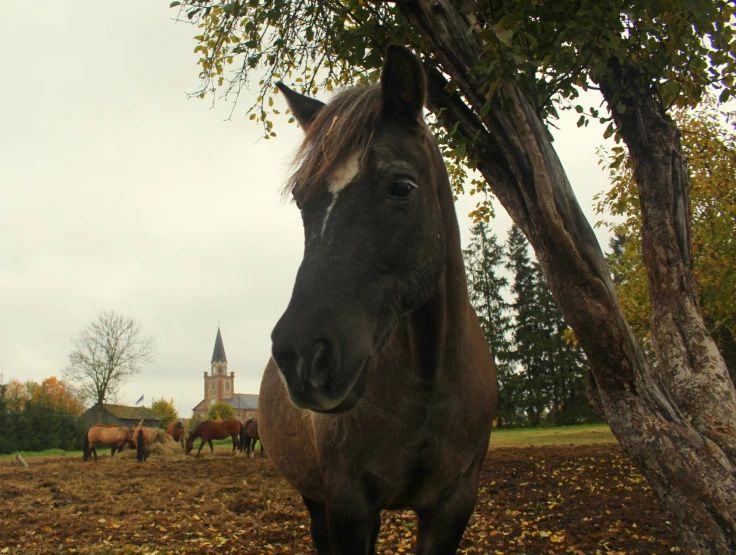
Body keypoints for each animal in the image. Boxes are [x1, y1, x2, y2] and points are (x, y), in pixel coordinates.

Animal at [258, 44, 494, 555]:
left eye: (401, 187)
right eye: (302, 199)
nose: (301, 355)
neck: (428, 381)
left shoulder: (454, 504)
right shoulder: (347, 503)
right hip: (315, 499)